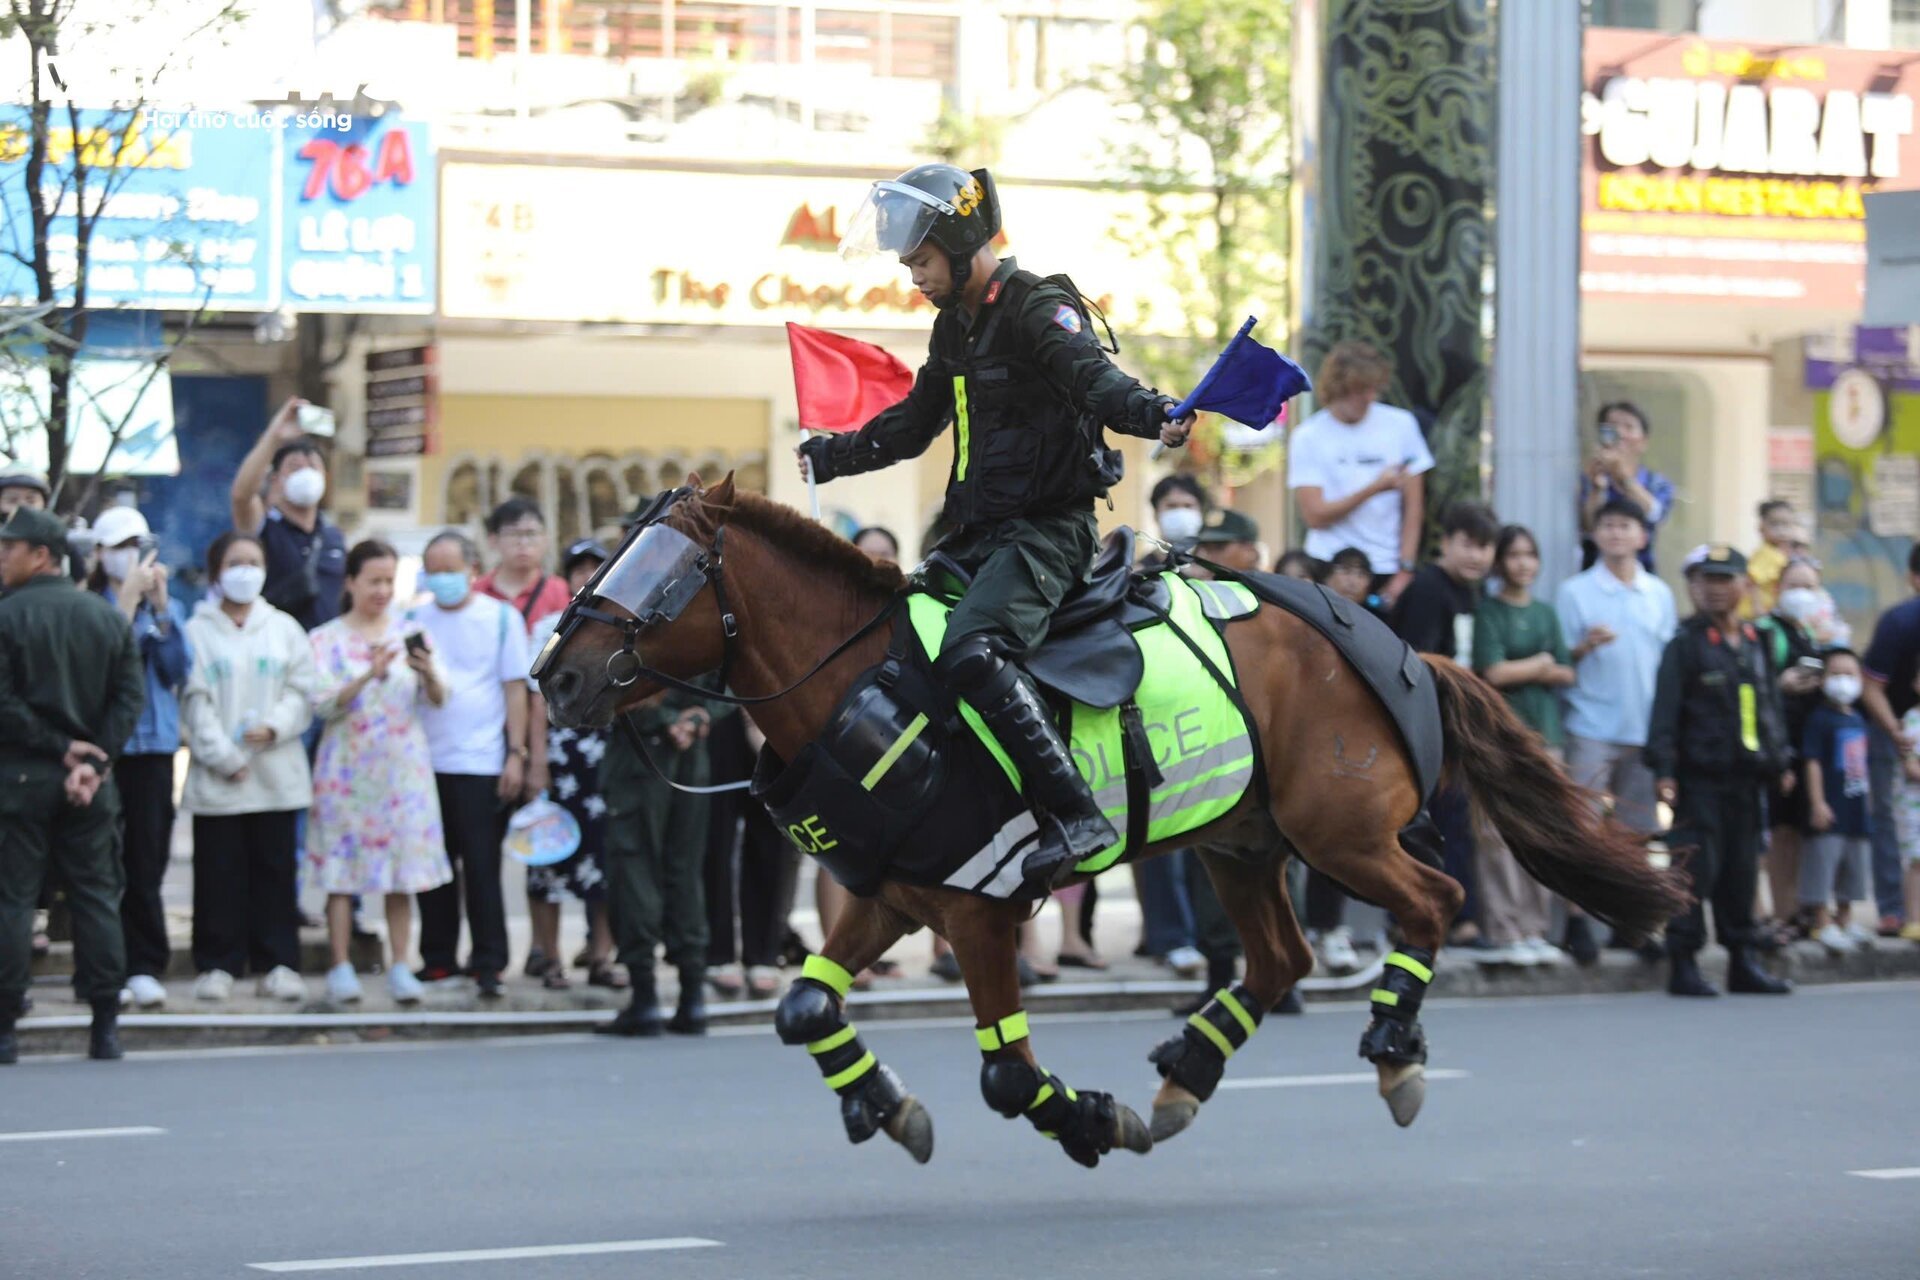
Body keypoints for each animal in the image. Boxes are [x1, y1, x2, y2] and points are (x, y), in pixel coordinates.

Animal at [533, 477, 1689, 1174]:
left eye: (661, 573)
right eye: (613, 559)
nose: (557, 677)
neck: (866, 683)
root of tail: (1391, 638)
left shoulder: (979, 908)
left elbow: (1005, 1072)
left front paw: (1090, 1117)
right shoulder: (890, 898)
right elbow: (803, 1009)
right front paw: (885, 1106)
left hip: (1342, 833)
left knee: (1434, 900)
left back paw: (1394, 1049)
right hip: (1240, 844)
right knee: (1281, 955)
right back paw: (1188, 1072)